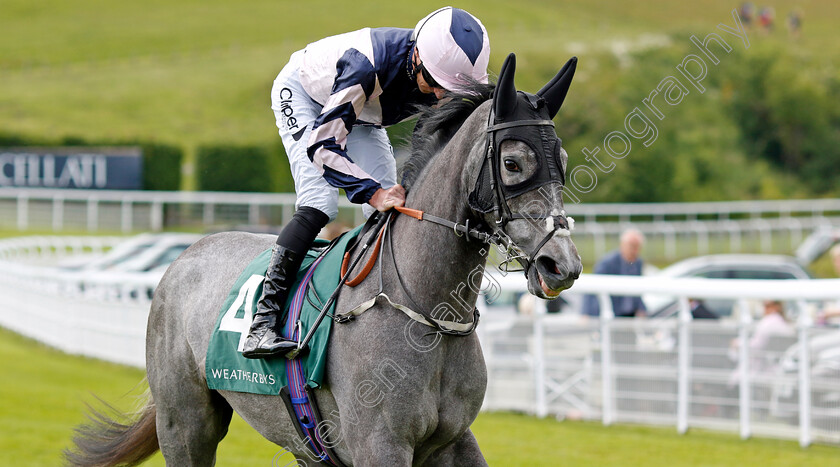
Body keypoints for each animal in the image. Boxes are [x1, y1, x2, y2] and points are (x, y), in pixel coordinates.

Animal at [65, 53, 580, 466]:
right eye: (513, 163)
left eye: (563, 162)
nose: (562, 265)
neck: (425, 310)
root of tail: (186, 254)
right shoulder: (379, 444)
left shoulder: (453, 441)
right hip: (185, 423)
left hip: (302, 441)